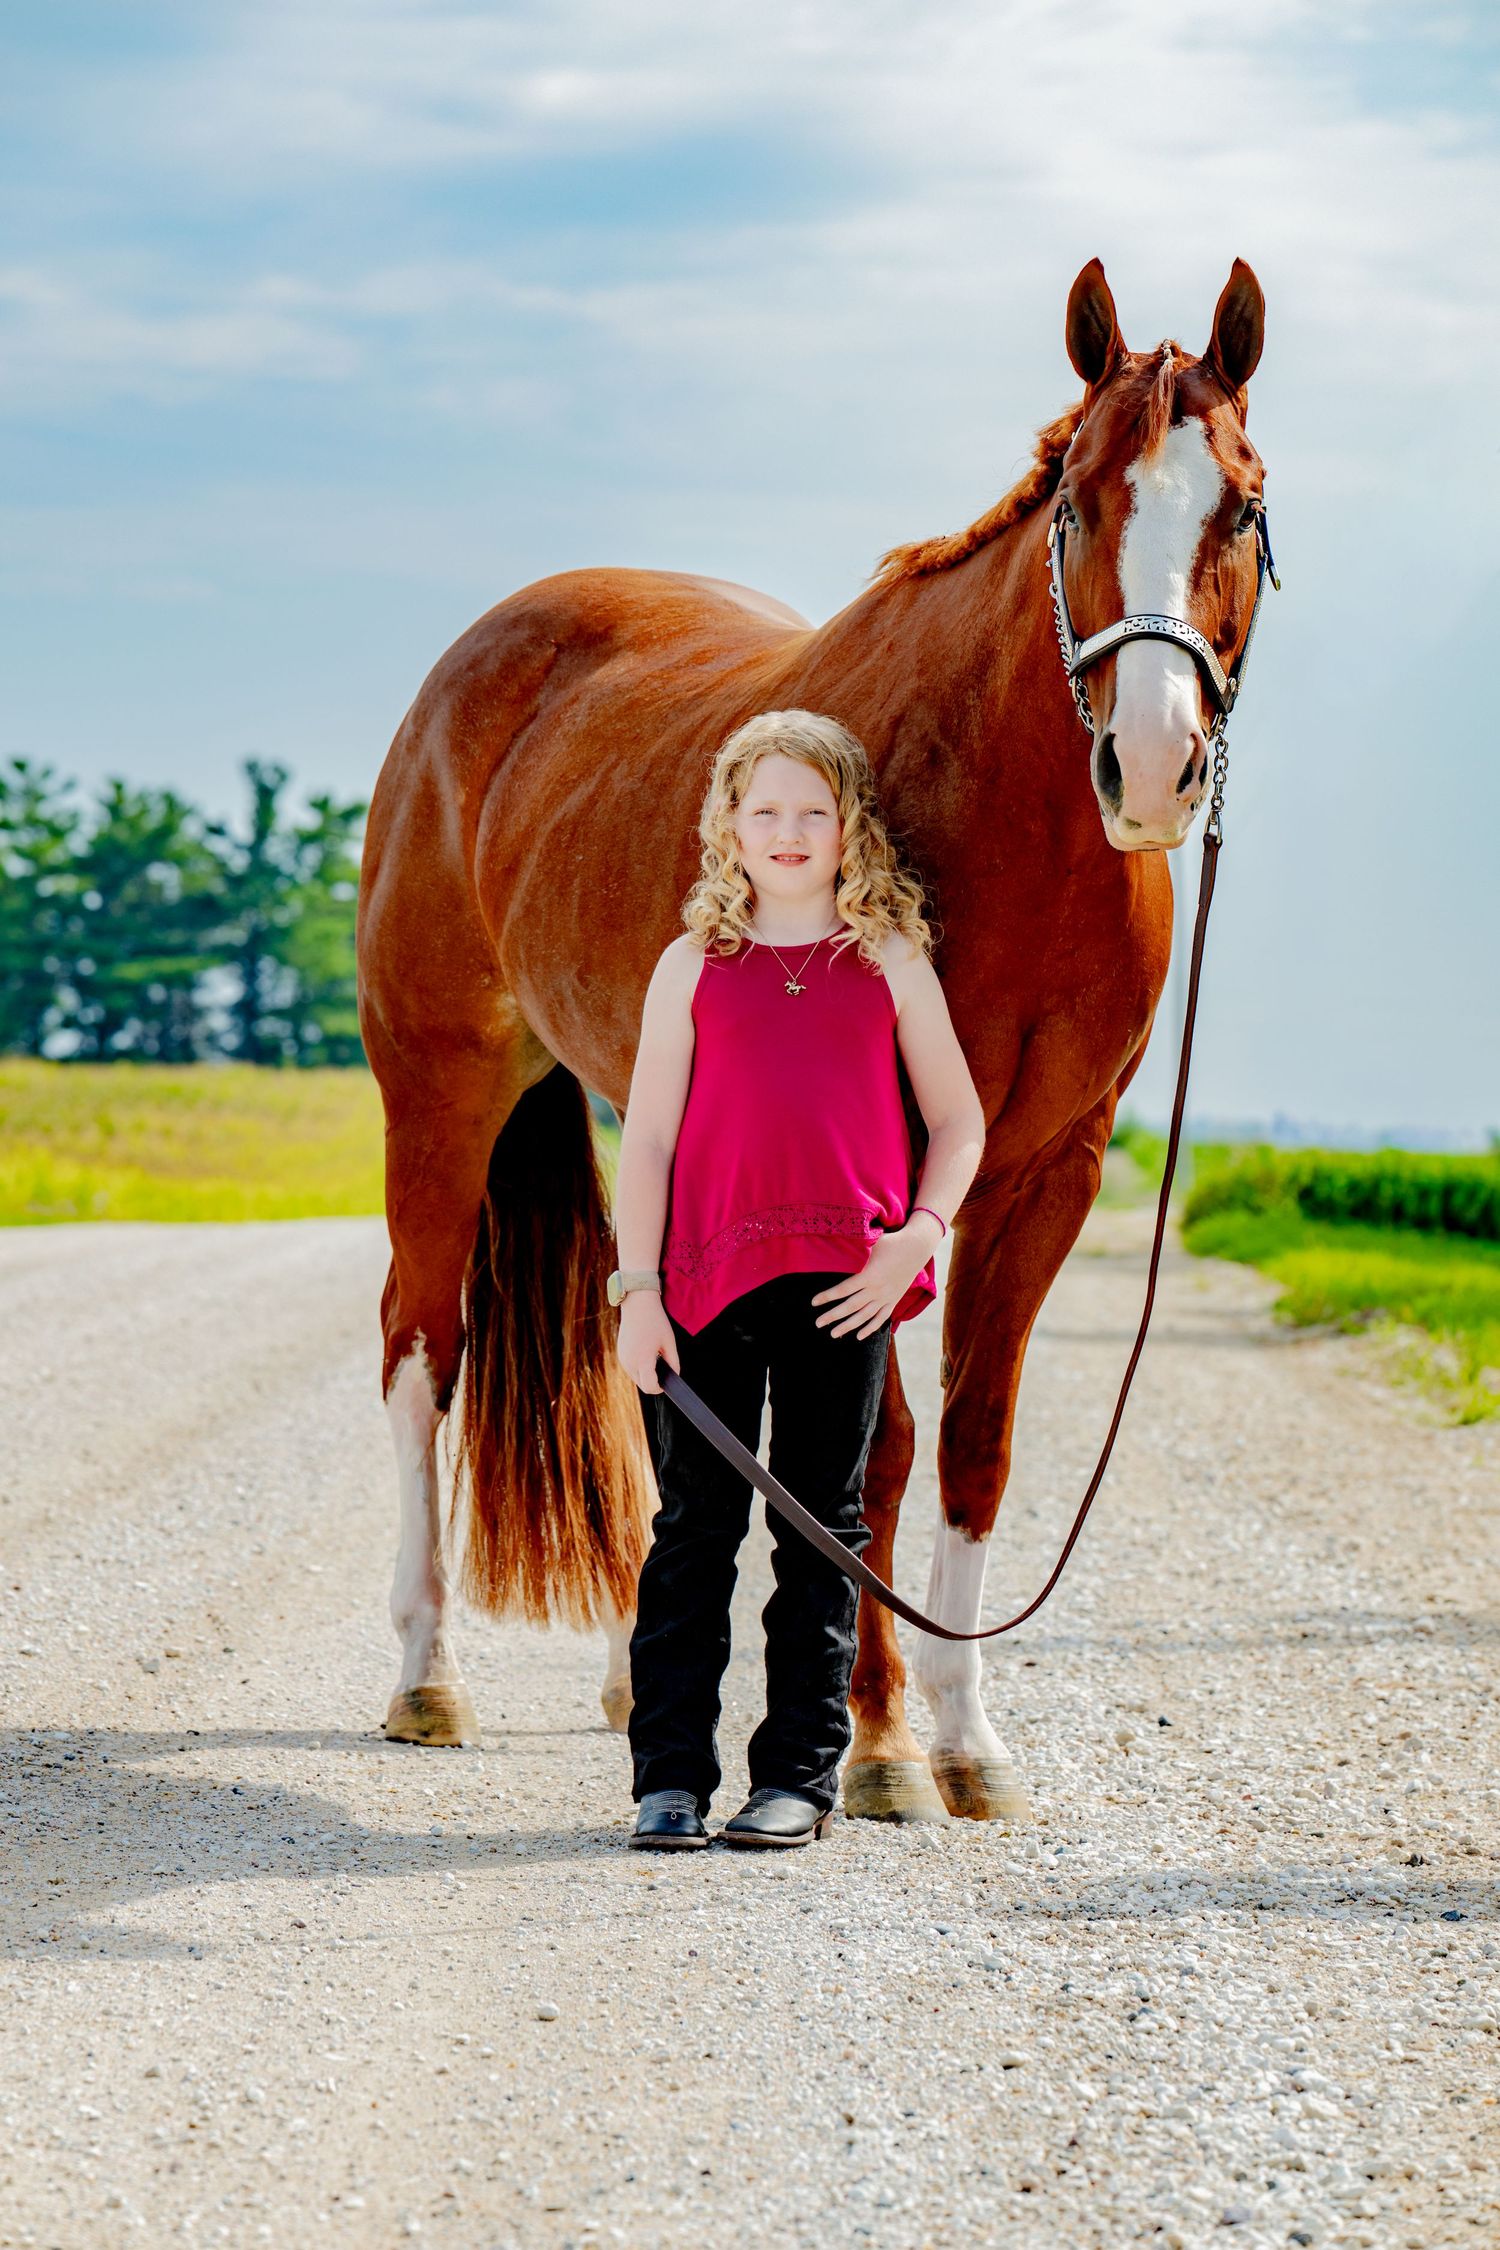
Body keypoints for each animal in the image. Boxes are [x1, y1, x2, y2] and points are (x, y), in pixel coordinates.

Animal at [355, 256, 1268, 1822]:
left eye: (1245, 507)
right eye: (1080, 504)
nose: (1152, 767)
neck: (1008, 816)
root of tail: (462, 680)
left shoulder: (1049, 1170)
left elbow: (973, 1446)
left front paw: (969, 1741)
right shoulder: (881, 1175)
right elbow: (877, 1453)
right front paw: (887, 1743)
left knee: (639, 1355)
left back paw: (623, 1680)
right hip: (439, 1089)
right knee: (424, 1349)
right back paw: (425, 1676)